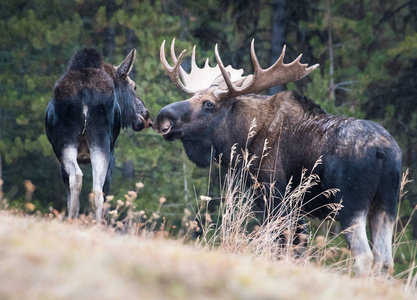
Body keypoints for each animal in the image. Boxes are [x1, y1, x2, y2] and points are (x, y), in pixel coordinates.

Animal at [46, 48, 150, 220]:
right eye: (134, 87)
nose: (146, 115)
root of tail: (85, 91)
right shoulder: (112, 154)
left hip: (67, 143)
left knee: (81, 180)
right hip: (98, 142)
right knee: (95, 189)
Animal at [152, 39, 400, 276]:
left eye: (209, 104)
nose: (162, 118)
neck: (242, 141)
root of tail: (384, 152)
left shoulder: (275, 197)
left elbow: (282, 249)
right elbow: (297, 251)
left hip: (350, 205)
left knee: (365, 256)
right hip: (386, 204)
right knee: (385, 260)